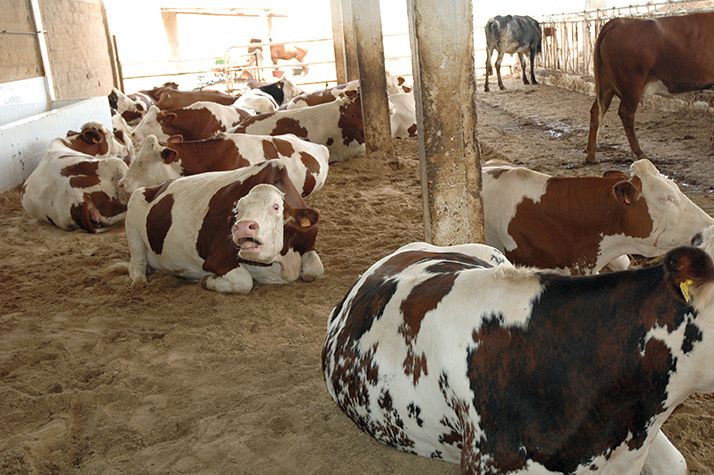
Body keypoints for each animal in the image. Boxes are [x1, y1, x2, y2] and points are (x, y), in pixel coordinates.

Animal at [125, 160, 323, 293]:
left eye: (276, 207)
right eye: (238, 209)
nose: (242, 226)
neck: (285, 261)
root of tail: (155, 187)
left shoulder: (308, 243)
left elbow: (316, 270)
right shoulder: (216, 259)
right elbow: (244, 282)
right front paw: (207, 281)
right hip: (133, 224)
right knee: (137, 263)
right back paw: (139, 282)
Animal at [586, 13, 714, 162]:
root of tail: (619, 22)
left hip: (606, 86)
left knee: (596, 111)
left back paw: (591, 155)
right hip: (631, 85)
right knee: (626, 113)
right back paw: (640, 153)